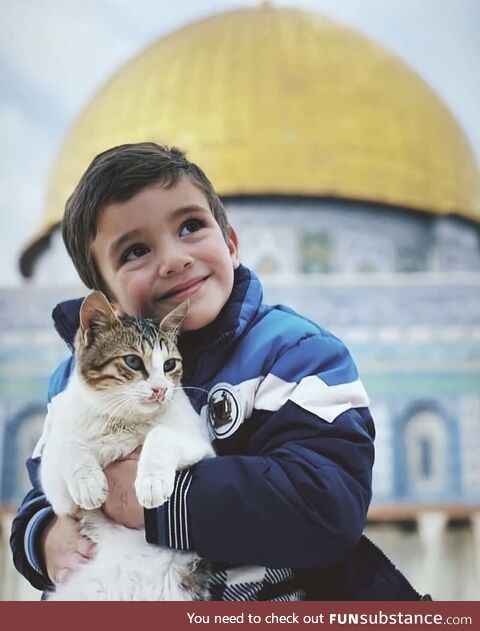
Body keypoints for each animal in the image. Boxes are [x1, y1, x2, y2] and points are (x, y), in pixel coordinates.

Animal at [38, 292, 215, 604]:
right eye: (132, 361)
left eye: (170, 365)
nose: (160, 390)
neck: (122, 421)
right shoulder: (59, 495)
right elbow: (66, 444)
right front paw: (87, 481)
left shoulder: (200, 444)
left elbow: (161, 434)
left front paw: (152, 482)